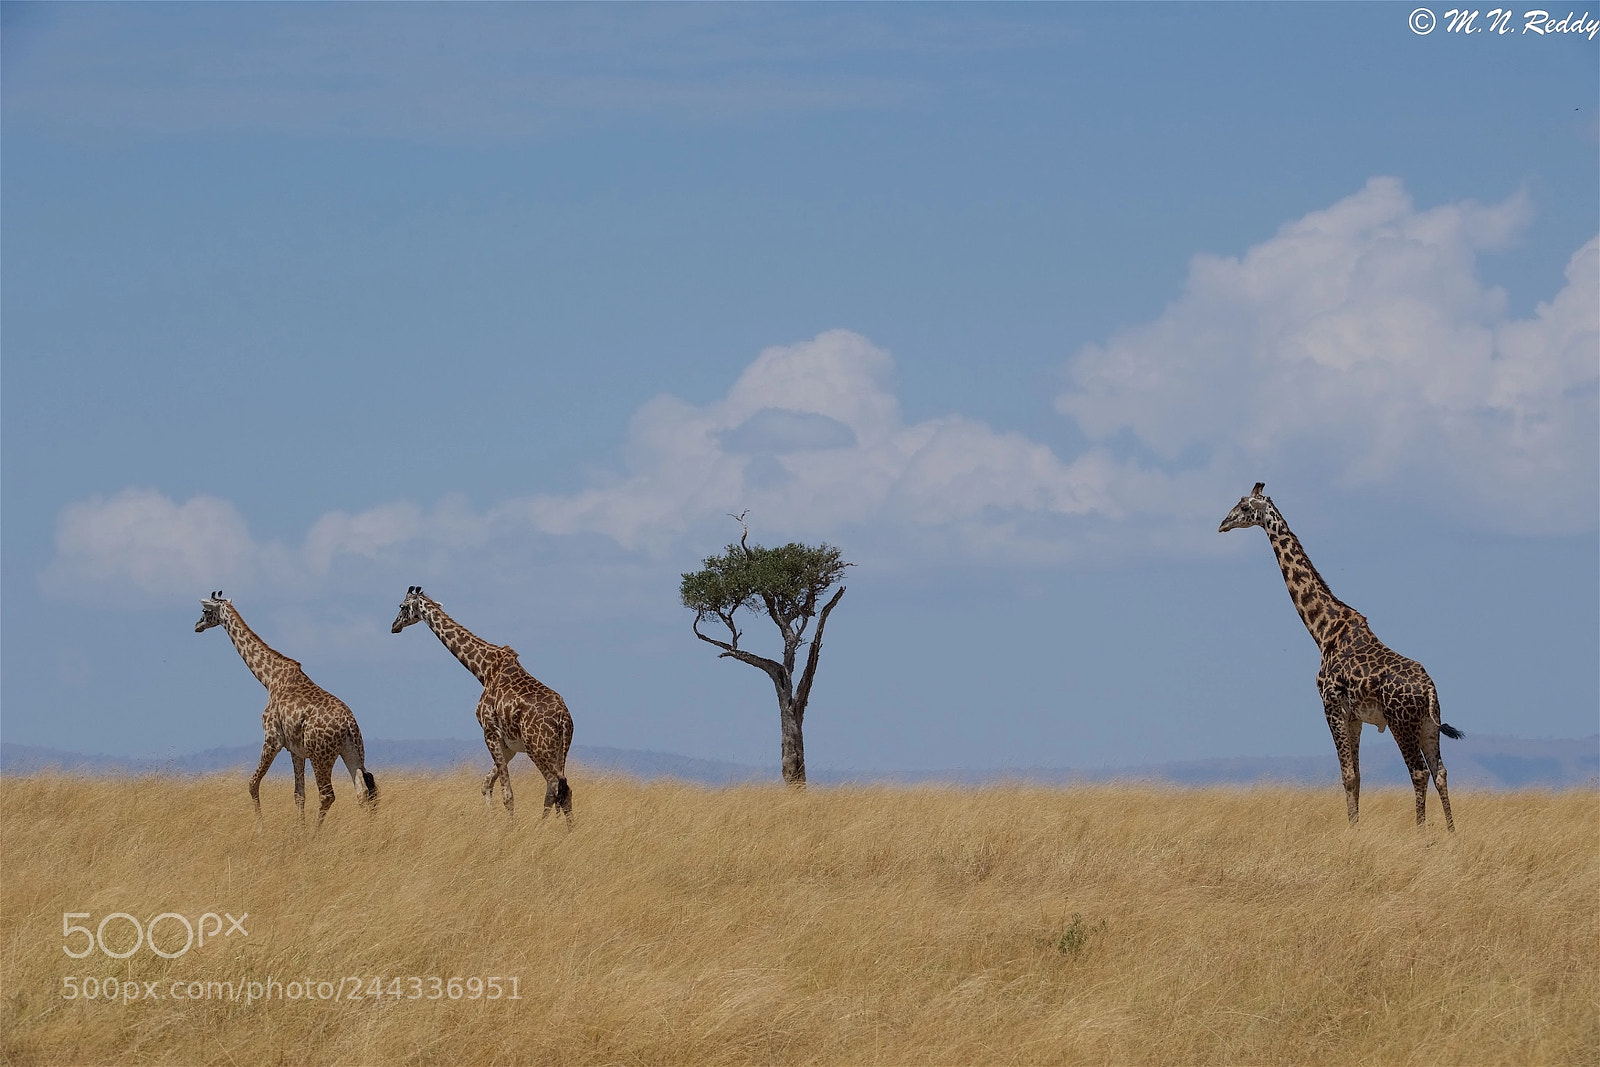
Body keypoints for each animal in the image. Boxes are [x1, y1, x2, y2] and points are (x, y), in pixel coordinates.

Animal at [195, 592, 377, 823]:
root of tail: (348, 723)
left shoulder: (272, 737)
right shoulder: (296, 749)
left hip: (321, 755)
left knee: (327, 795)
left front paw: (261, 826)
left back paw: (317, 831)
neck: (269, 679)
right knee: (362, 791)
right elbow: (299, 794)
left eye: (205, 610)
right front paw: (299, 828)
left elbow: (252, 783)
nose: (197, 625)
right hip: (352, 750)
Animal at [390, 586, 573, 821]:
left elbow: (507, 794)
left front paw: (507, 825)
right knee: (562, 790)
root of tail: (563, 718)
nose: (394, 626)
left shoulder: (490, 732)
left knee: (553, 787)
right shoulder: (509, 745)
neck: (484, 670)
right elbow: (486, 784)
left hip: (539, 748)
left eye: (402, 606)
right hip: (559, 750)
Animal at [1219, 485, 1461, 830]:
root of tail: (1428, 689)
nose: (1222, 524)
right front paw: (1354, 825)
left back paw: (1421, 831)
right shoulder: (1354, 716)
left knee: (1418, 771)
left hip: (1401, 722)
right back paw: (1452, 833)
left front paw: (1352, 830)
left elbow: (1347, 776)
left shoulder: (1331, 706)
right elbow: (1357, 776)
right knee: (1440, 771)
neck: (1322, 630)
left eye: (1242, 506)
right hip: (1429, 723)